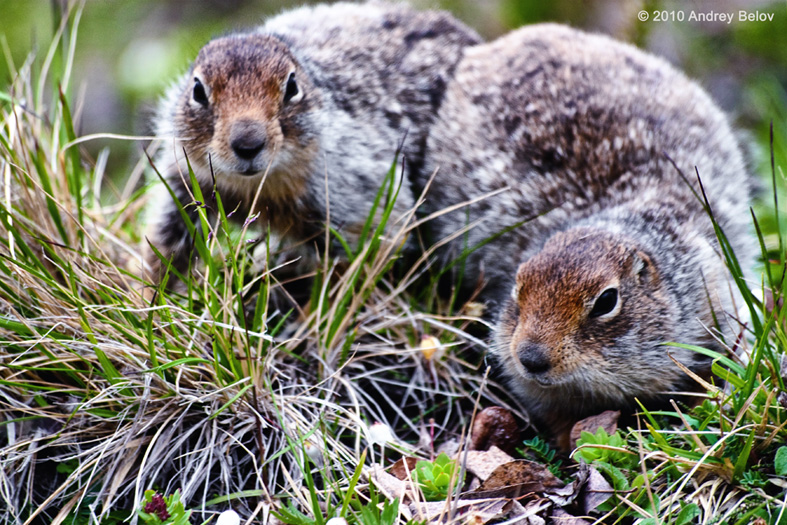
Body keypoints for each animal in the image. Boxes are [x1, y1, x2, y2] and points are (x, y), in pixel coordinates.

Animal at [145, 1, 484, 286]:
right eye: (197, 90)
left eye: (292, 86)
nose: (248, 144)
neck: (256, 187)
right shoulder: (183, 184)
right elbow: (164, 247)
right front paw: (148, 296)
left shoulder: (354, 193)